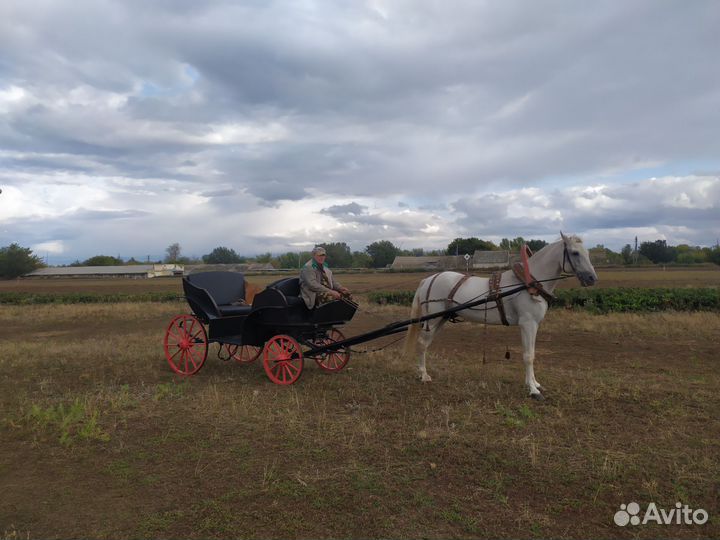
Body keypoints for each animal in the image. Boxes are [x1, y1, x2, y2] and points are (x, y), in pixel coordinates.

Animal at [403, 233, 598, 400]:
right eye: (575, 252)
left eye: (588, 253)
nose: (592, 278)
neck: (527, 283)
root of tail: (429, 279)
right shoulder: (527, 323)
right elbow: (528, 356)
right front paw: (533, 391)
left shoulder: (534, 325)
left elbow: (532, 353)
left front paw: (534, 383)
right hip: (433, 319)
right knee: (422, 344)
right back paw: (423, 375)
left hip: (440, 320)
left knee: (426, 344)